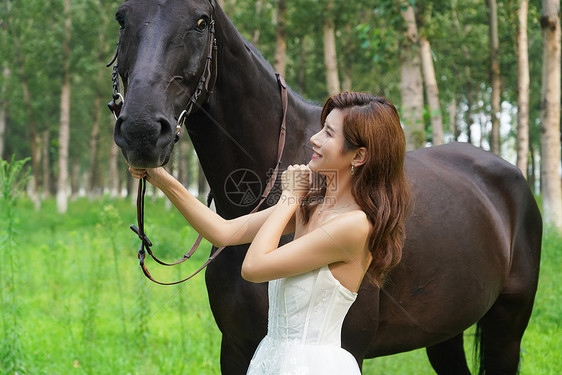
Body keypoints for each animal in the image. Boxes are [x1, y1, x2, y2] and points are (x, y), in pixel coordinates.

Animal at [109, 1, 540, 374]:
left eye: (200, 22)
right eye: (122, 18)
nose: (142, 131)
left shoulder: (350, 347)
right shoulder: (234, 347)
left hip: (506, 328)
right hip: (444, 332)